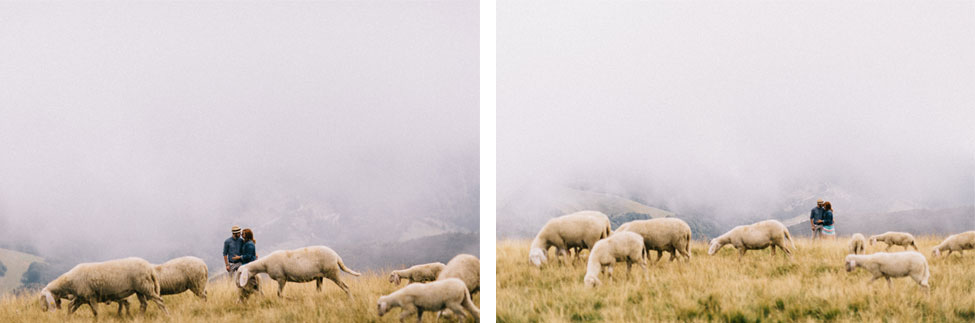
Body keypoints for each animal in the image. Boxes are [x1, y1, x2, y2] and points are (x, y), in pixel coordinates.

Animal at [40, 256, 169, 318]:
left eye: (42, 297)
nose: (42, 310)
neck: (69, 282)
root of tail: (150, 268)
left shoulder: (90, 296)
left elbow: (96, 312)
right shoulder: (82, 298)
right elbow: (72, 308)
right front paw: (67, 318)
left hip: (145, 286)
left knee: (160, 301)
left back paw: (167, 315)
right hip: (139, 289)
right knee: (143, 304)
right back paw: (139, 318)